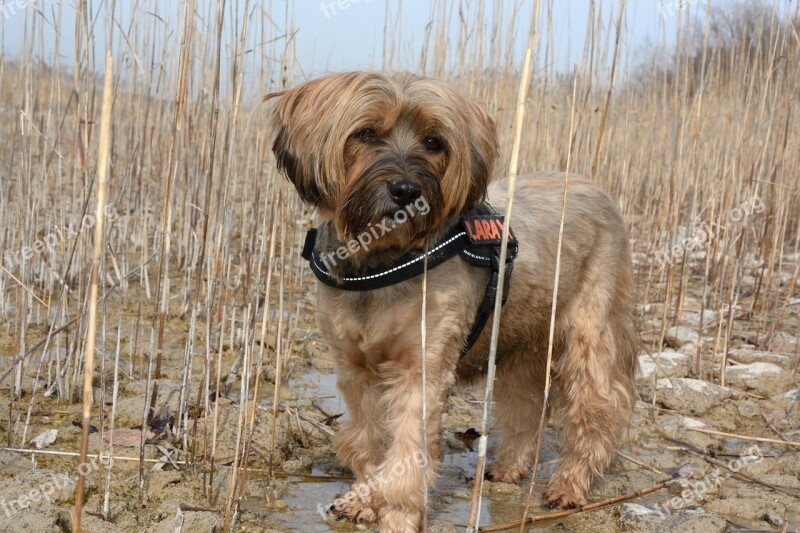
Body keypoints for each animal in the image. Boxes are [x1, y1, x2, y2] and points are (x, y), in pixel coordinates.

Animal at [268, 71, 636, 532]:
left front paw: (397, 517)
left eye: (433, 142)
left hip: (591, 335)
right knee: (527, 407)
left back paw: (569, 485)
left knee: (597, 410)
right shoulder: (357, 371)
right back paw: (508, 468)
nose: (405, 190)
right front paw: (364, 499)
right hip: (520, 342)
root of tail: (597, 190)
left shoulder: (423, 371)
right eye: (366, 132)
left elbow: (407, 456)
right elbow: (371, 442)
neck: (383, 260)